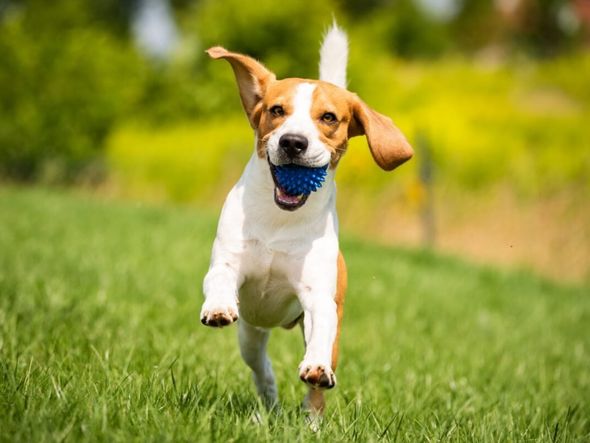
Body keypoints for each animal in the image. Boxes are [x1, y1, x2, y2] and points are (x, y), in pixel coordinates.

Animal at [201, 24, 414, 416]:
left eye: (328, 117)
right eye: (276, 110)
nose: (293, 142)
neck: (280, 221)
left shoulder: (319, 297)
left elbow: (320, 329)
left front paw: (314, 368)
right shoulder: (228, 261)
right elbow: (220, 277)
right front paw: (219, 306)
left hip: (332, 338)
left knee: (316, 390)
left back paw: (310, 413)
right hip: (251, 333)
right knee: (260, 366)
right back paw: (268, 401)